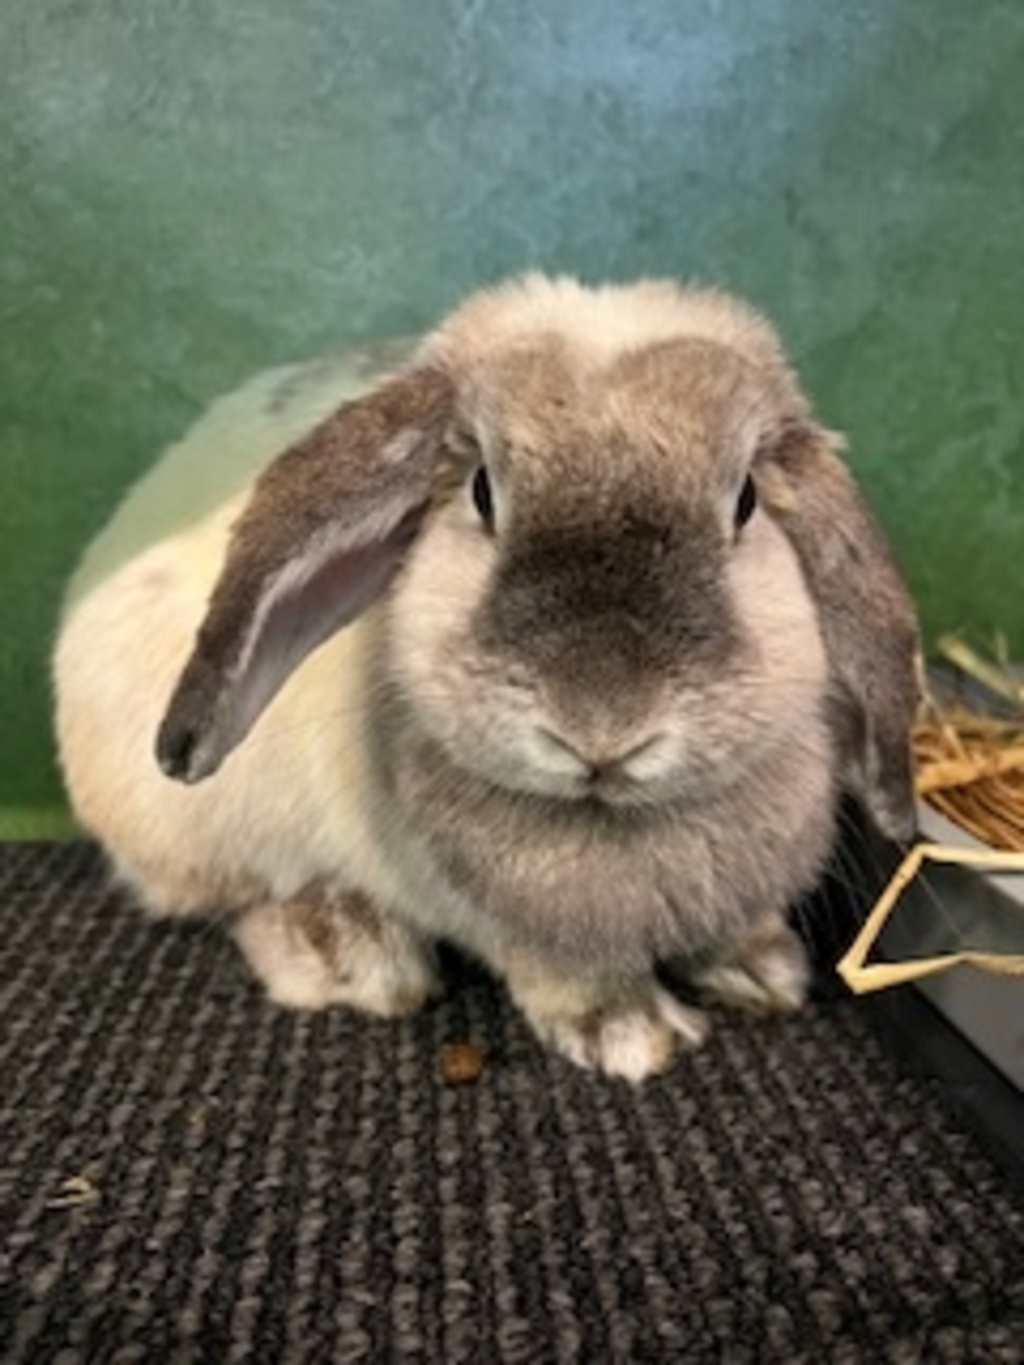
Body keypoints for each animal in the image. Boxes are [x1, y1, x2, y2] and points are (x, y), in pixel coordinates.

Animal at [54, 274, 920, 1081]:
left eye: (744, 501)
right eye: (481, 492)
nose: (601, 726)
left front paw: (764, 969)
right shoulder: (505, 921)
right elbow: (564, 973)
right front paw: (631, 1033)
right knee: (236, 896)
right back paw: (349, 949)